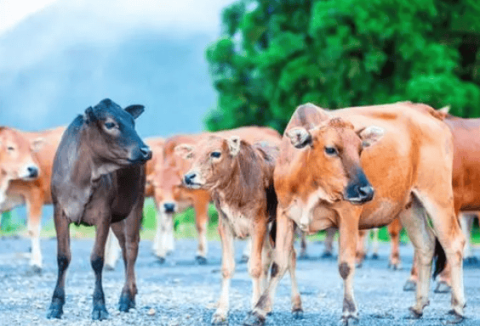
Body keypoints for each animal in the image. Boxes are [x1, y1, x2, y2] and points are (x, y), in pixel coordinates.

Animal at [0, 126, 64, 272]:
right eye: (10, 147)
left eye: (30, 150)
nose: (33, 169)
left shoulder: (34, 193)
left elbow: (33, 229)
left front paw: (36, 263)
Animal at [46, 98, 152, 320]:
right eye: (110, 124)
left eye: (133, 122)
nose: (146, 151)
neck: (83, 179)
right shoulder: (59, 211)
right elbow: (63, 258)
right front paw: (55, 305)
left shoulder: (103, 215)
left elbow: (97, 259)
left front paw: (99, 306)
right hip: (118, 217)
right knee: (124, 248)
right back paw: (131, 295)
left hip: (135, 204)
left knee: (132, 247)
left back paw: (126, 297)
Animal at [178, 134, 280, 324]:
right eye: (192, 155)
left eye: (216, 153)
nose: (189, 176)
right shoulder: (224, 226)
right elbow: (227, 268)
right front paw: (221, 311)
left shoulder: (258, 225)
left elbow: (254, 267)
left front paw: (254, 308)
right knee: (268, 257)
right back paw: (265, 306)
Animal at [246, 102, 464, 326]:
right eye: (331, 149)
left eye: (360, 150)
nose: (366, 191)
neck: (309, 183)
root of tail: (429, 112)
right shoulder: (284, 214)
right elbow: (278, 264)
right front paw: (259, 310)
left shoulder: (348, 214)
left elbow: (345, 265)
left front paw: (349, 312)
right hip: (410, 205)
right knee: (426, 244)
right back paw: (418, 306)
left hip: (438, 196)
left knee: (453, 243)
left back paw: (456, 308)